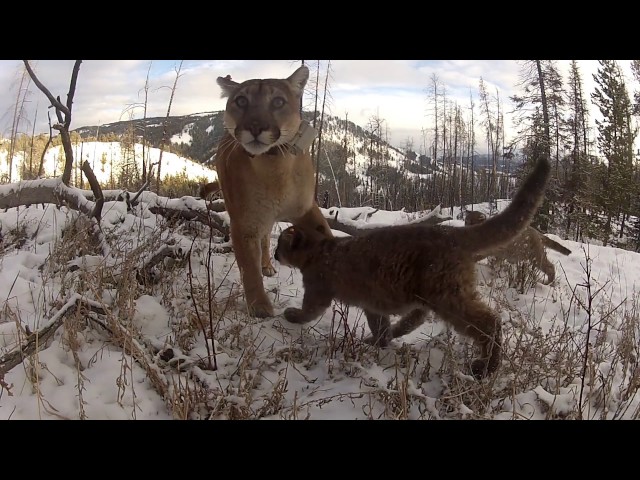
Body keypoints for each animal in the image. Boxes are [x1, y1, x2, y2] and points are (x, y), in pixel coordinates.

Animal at [216, 64, 332, 318]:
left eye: (278, 102)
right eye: (241, 100)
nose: (255, 127)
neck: (274, 166)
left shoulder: (306, 208)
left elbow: (326, 233)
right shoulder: (245, 222)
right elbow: (249, 267)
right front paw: (259, 306)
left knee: (266, 236)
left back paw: (268, 265)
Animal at [274, 156, 552, 376]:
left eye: (279, 244)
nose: (274, 254)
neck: (318, 249)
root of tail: (449, 232)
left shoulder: (318, 290)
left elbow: (309, 311)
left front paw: (292, 315)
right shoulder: (371, 303)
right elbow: (379, 325)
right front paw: (378, 342)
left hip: (447, 295)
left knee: (489, 321)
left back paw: (485, 368)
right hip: (429, 293)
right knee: (416, 318)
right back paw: (395, 333)